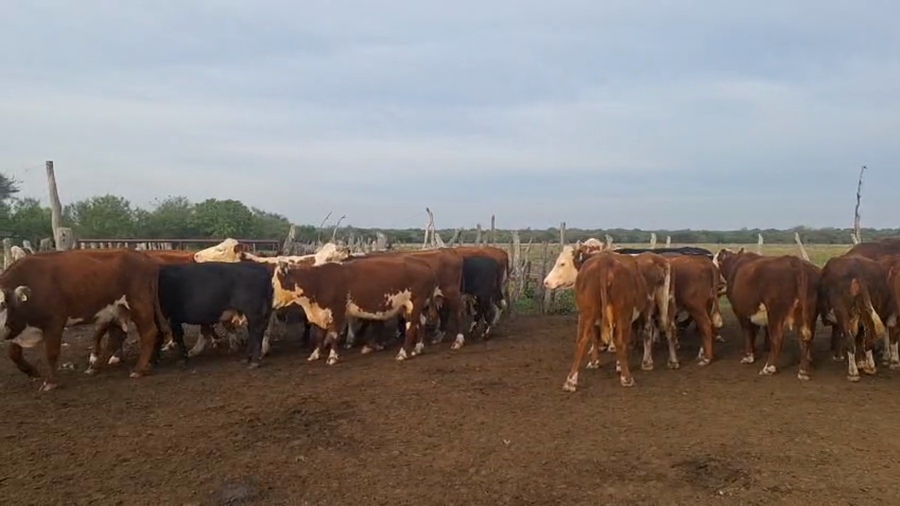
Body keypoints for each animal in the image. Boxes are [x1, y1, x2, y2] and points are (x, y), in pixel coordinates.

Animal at [0, 249, 169, 391]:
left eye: (2, 304)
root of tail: (145, 258)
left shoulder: (54, 322)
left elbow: (51, 353)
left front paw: (51, 382)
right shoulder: (18, 326)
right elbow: (13, 352)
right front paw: (32, 371)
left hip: (139, 305)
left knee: (148, 332)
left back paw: (138, 369)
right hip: (116, 310)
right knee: (116, 338)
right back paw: (94, 367)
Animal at [271, 255, 439, 365]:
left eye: (276, 283)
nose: (273, 304)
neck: (319, 281)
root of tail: (425, 265)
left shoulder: (337, 312)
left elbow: (333, 335)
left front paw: (332, 357)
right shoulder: (321, 313)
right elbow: (319, 335)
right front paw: (315, 354)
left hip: (414, 305)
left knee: (411, 327)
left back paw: (403, 353)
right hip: (418, 307)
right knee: (421, 324)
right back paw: (418, 348)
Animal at [560, 251, 652, 392]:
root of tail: (604, 262)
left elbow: (595, 339)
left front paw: (594, 362)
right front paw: (620, 365)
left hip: (586, 313)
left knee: (582, 340)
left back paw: (571, 381)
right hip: (622, 313)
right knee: (619, 340)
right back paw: (627, 378)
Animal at [713, 248, 815, 380]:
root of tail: (795, 262)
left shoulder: (741, 310)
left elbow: (747, 331)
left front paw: (748, 357)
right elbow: (755, 331)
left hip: (775, 313)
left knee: (777, 338)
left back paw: (769, 368)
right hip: (807, 314)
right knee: (805, 338)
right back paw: (803, 371)